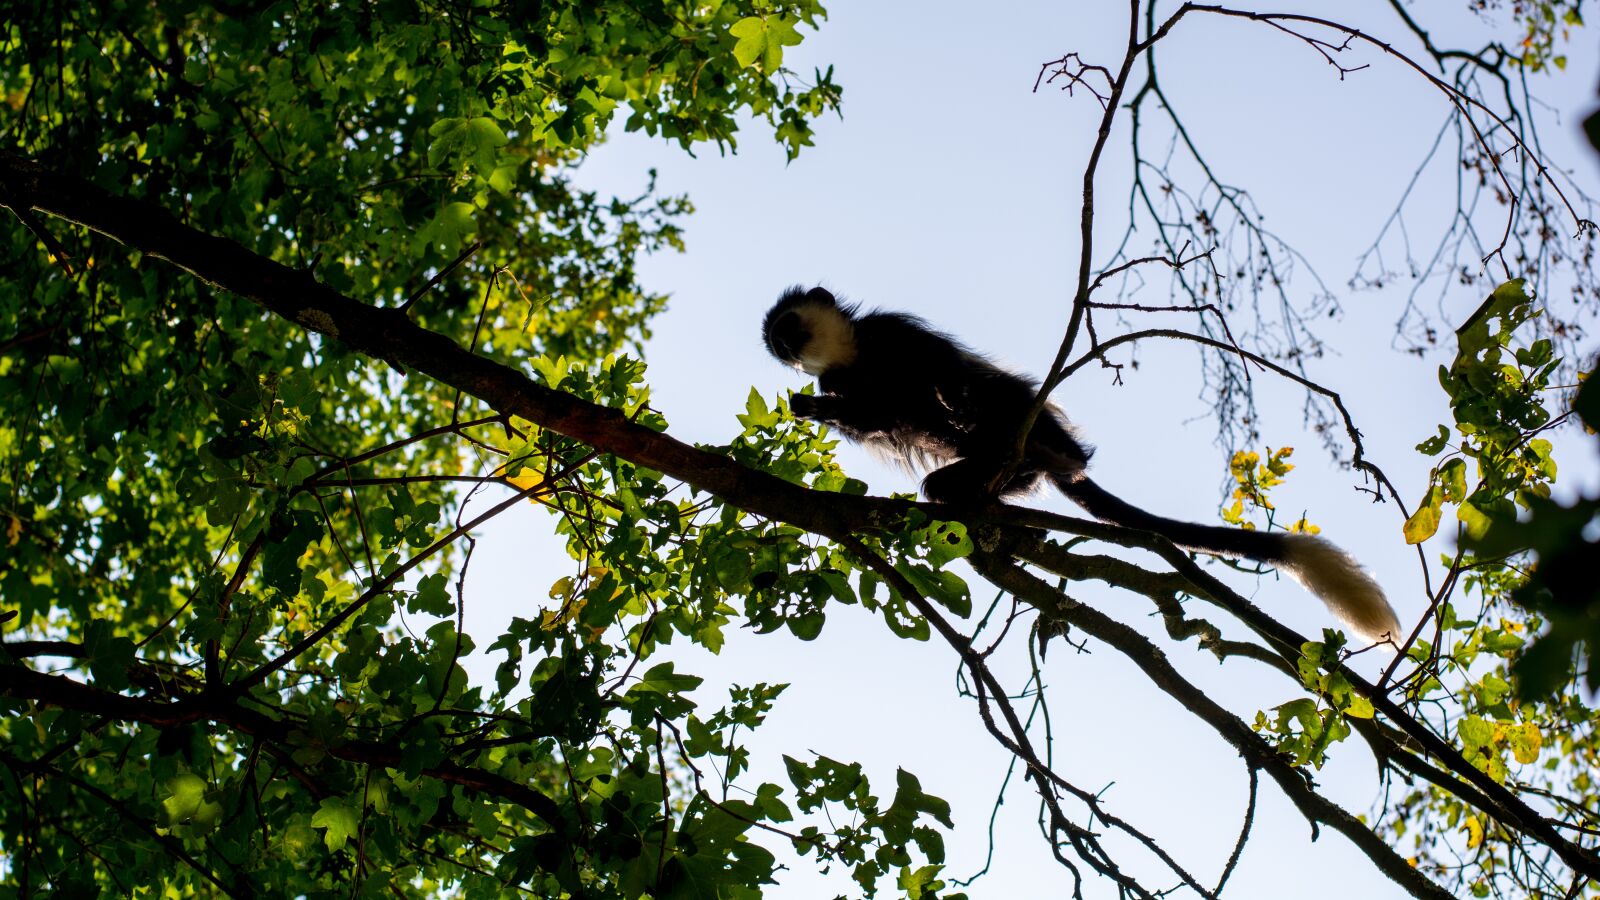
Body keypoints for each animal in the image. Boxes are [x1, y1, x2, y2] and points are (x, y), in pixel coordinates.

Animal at [761, 283, 1401, 640]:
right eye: (777, 342)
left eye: (790, 327)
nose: (785, 348)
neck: (856, 357)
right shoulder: (843, 383)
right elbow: (868, 417)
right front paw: (808, 407)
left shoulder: (894, 335)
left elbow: (937, 374)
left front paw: (949, 401)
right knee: (942, 485)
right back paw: (989, 492)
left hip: (1026, 418)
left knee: (1000, 403)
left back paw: (1017, 448)